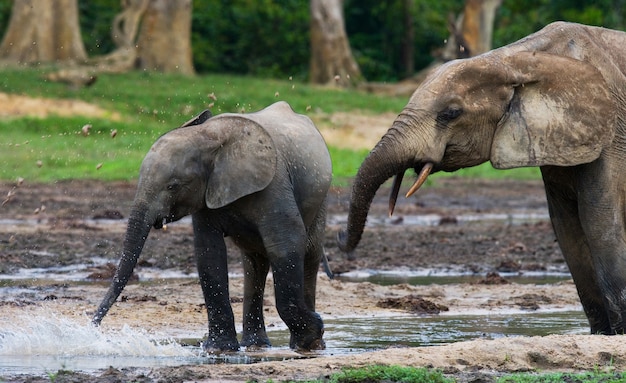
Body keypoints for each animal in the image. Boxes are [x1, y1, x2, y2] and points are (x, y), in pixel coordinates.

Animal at [92, 100, 332, 352]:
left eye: (173, 186)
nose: (94, 326)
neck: (208, 137)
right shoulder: (206, 193)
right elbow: (209, 253)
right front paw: (219, 348)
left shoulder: (274, 183)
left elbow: (285, 242)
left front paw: (313, 332)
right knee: (254, 261)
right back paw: (256, 345)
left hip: (321, 198)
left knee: (308, 251)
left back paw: (310, 346)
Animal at [338, 22, 624, 336]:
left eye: (451, 113)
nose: (339, 239)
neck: (517, 59)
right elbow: (567, 228)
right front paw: (602, 335)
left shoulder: (613, 136)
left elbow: (599, 222)